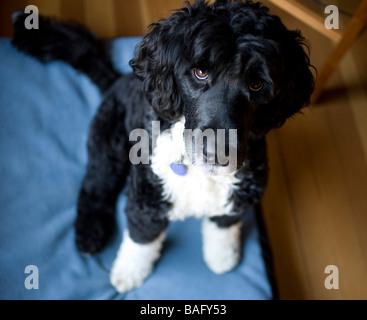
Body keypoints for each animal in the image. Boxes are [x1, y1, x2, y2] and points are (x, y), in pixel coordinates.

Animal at [12, 0, 314, 292]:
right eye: (200, 72)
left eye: (256, 84)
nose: (218, 154)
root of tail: (117, 81)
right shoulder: (145, 201)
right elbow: (141, 241)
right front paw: (129, 272)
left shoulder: (239, 198)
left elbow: (223, 227)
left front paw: (222, 256)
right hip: (107, 145)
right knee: (95, 187)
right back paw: (91, 231)